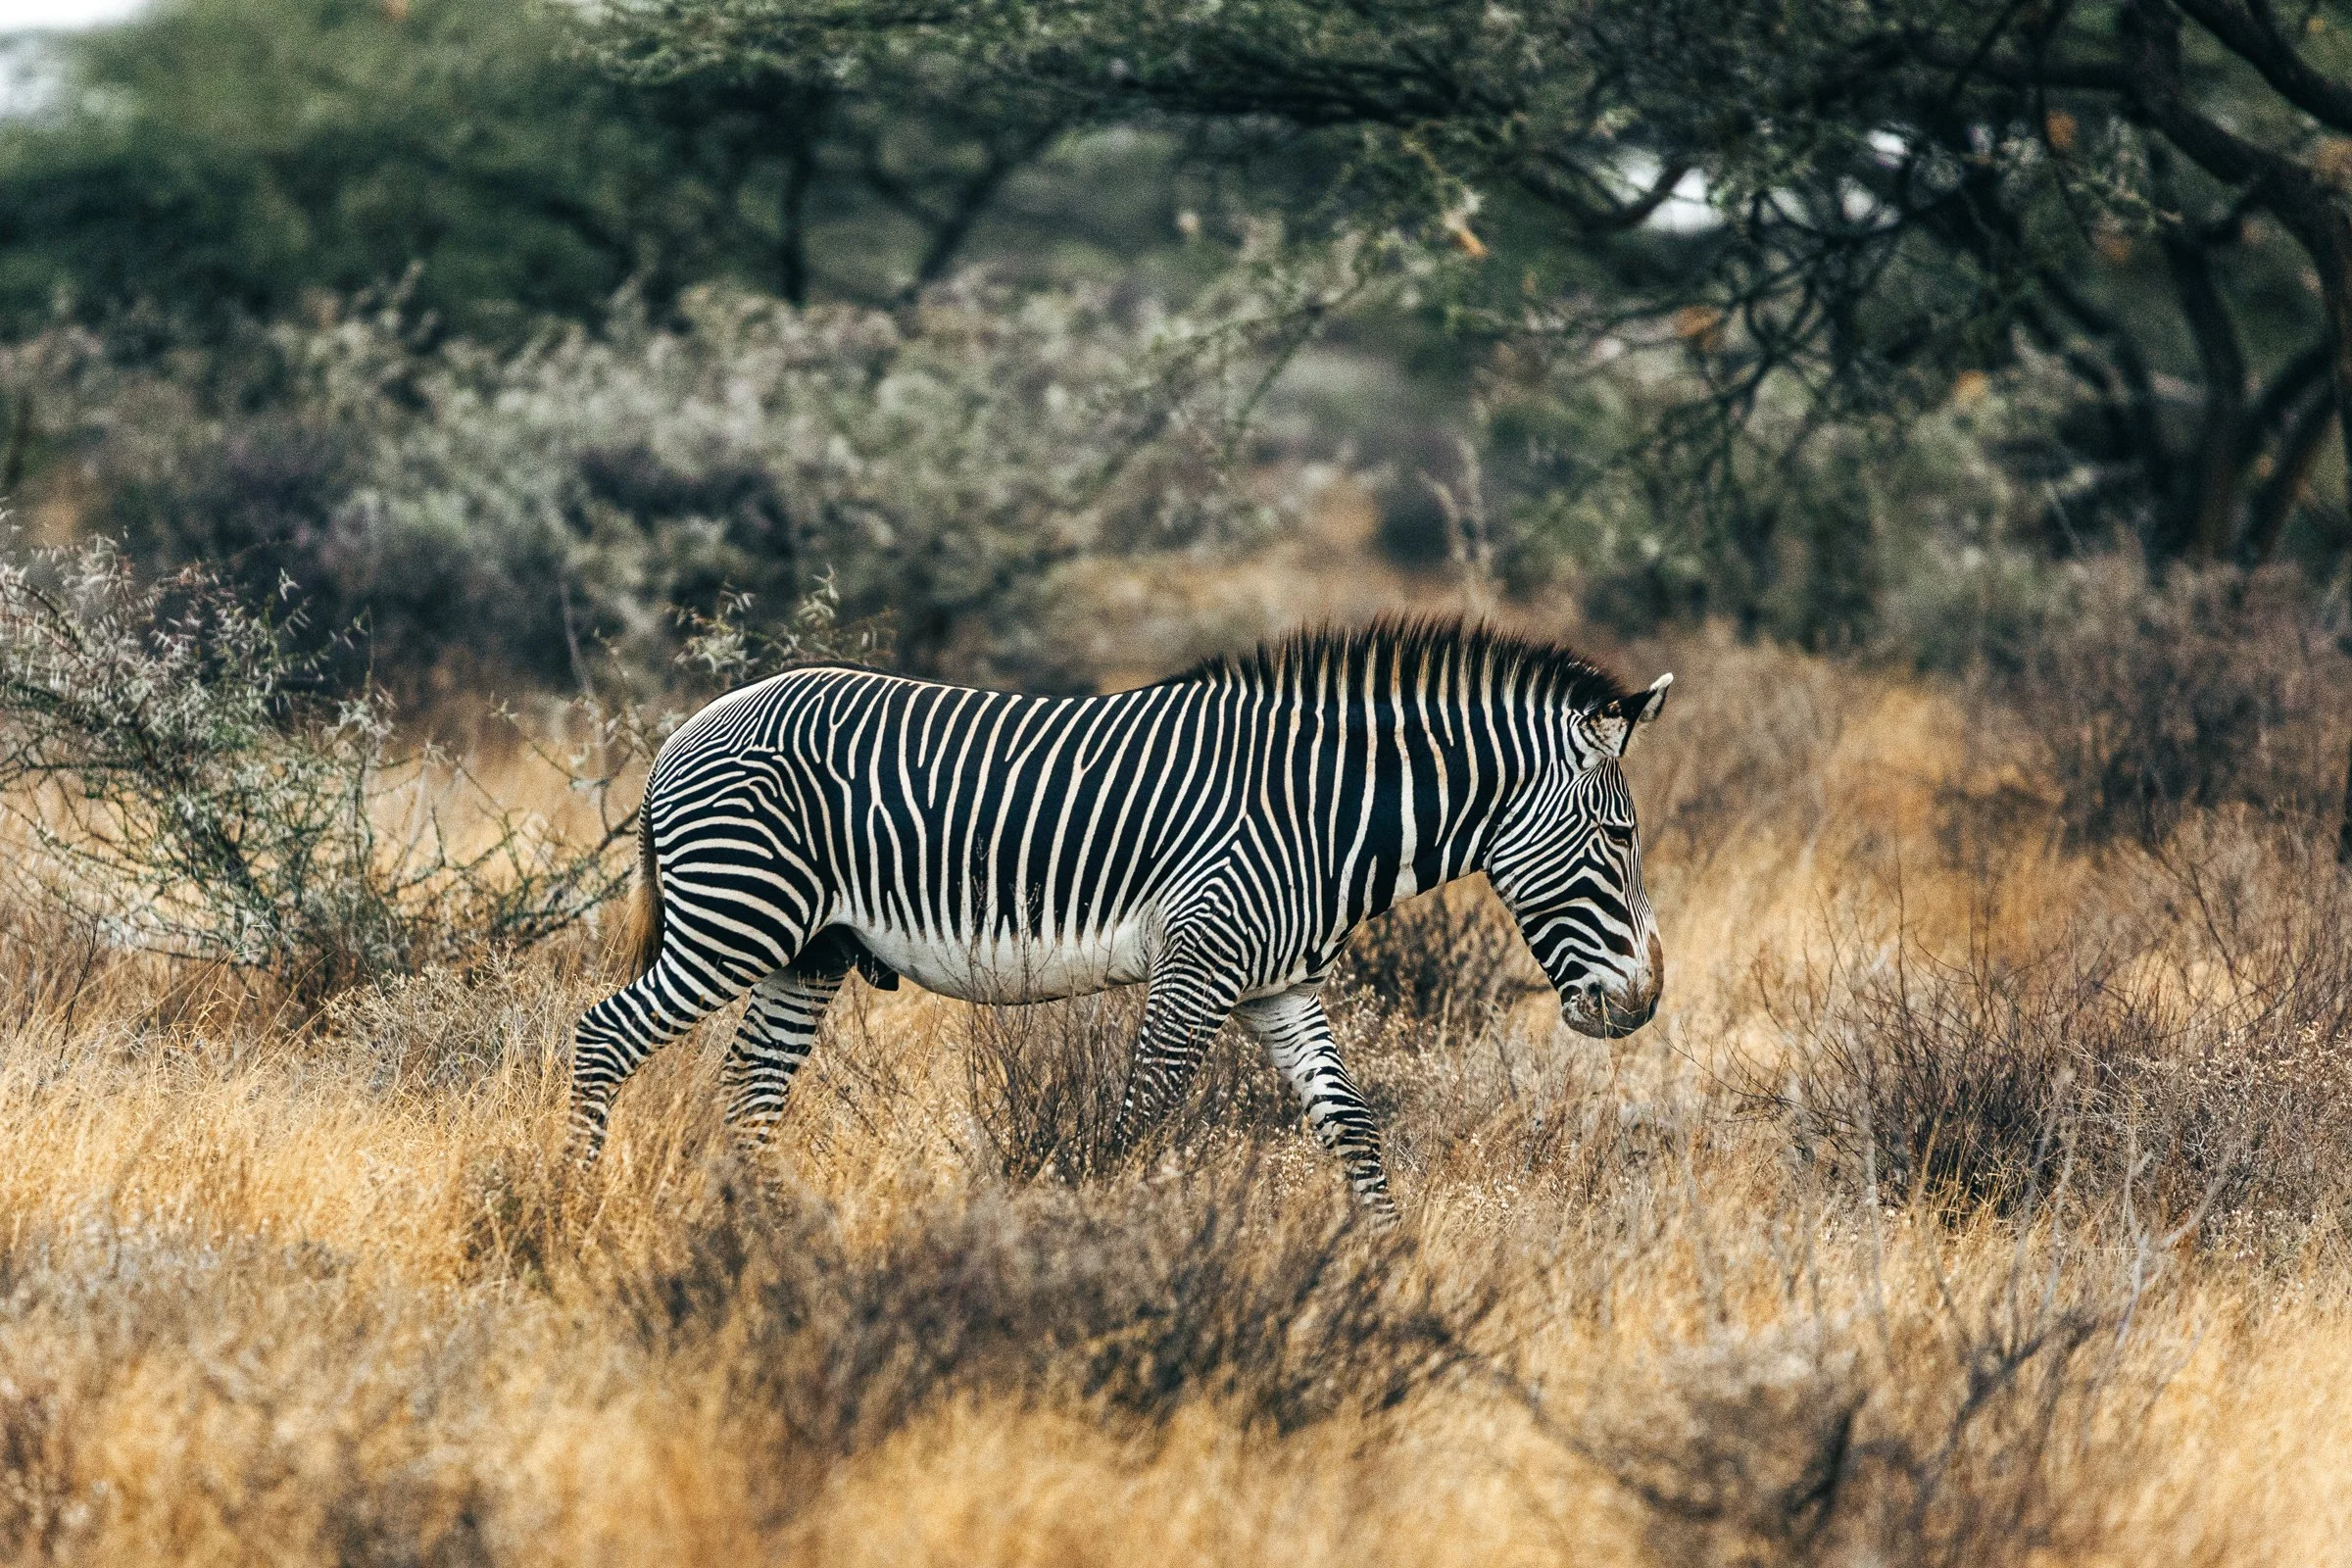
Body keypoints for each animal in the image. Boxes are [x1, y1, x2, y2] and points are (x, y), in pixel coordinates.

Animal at [569, 620, 1671, 1219]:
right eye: (1619, 835)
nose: (1648, 1001)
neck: (1318, 811)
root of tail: (689, 724)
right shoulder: (1200, 962)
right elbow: (1140, 1115)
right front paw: (1094, 1242)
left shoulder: (1280, 987)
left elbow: (1351, 1126)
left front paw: (1392, 1270)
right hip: (735, 920)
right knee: (603, 1034)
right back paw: (572, 1200)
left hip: (808, 948)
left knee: (749, 1087)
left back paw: (753, 1232)